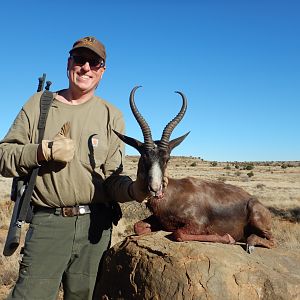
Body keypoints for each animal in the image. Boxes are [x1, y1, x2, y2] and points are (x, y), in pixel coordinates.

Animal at [113, 86, 276, 253]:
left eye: (167, 158)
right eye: (144, 156)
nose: (155, 189)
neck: (172, 194)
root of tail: (255, 201)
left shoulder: (196, 225)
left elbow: (178, 234)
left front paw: (228, 238)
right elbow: (137, 226)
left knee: (272, 241)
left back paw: (250, 243)